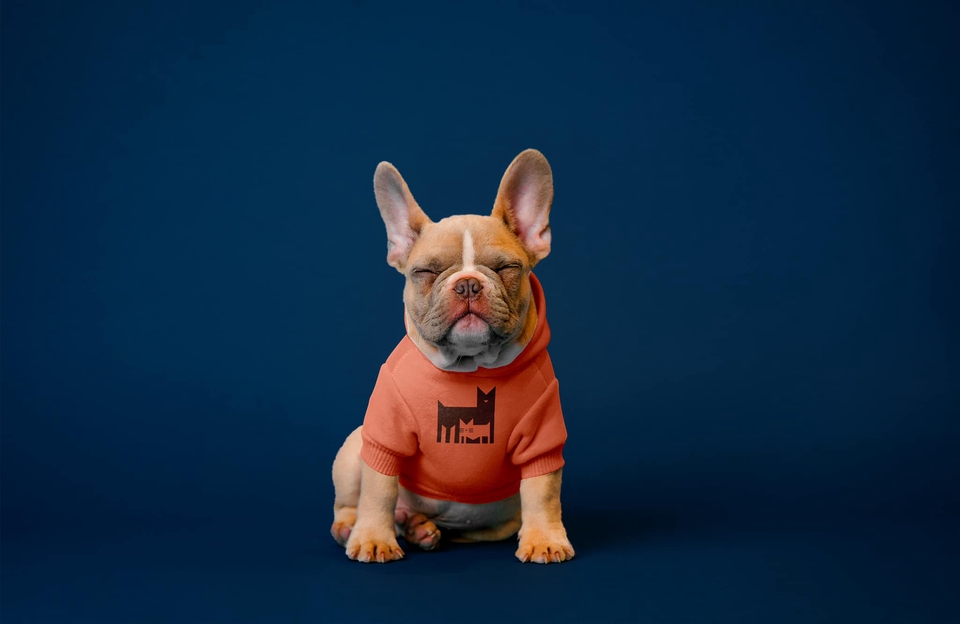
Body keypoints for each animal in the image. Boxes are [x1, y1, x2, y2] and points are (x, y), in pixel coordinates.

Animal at [330, 149, 574, 564]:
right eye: (425, 272)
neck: (469, 365)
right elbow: (377, 492)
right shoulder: (384, 437)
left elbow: (543, 492)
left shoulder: (543, 439)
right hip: (352, 449)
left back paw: (420, 528)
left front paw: (544, 538)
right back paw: (359, 526)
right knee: (351, 501)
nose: (468, 284)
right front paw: (374, 537)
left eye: (507, 268)